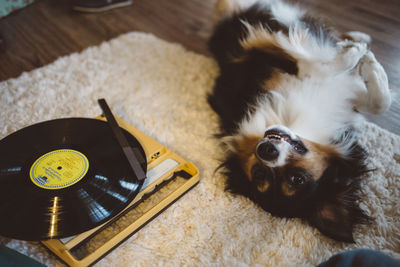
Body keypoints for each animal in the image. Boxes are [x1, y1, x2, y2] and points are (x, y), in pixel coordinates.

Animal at [208, 0, 392, 243]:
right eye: (259, 174)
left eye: (297, 180)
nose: (266, 151)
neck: (295, 121)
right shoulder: (252, 48)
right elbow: (310, 67)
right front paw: (358, 57)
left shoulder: (347, 101)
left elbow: (380, 103)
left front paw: (365, 61)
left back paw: (356, 38)